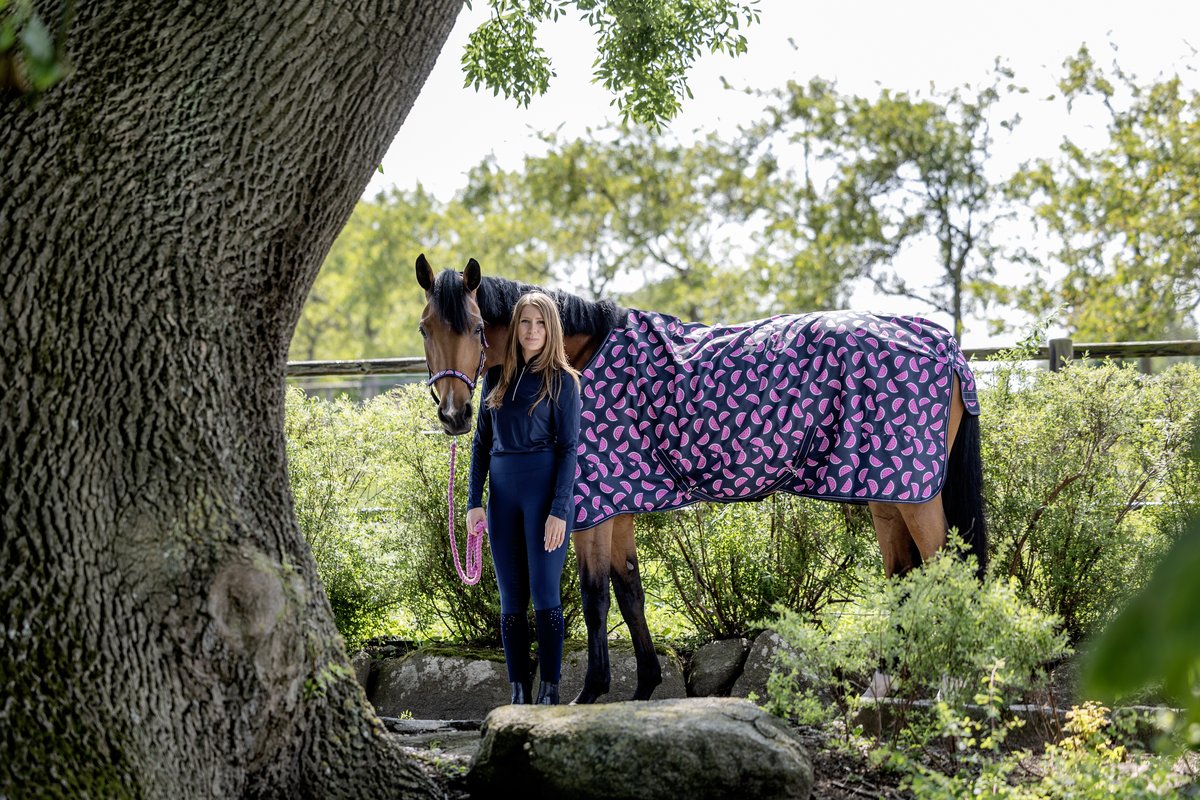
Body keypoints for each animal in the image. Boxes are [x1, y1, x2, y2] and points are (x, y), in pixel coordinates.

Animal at [414, 254, 986, 704]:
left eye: (476, 328)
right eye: (426, 328)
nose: (454, 415)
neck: (572, 358)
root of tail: (942, 343)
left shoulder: (588, 508)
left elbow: (595, 596)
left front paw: (590, 693)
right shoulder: (618, 505)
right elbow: (630, 590)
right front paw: (644, 686)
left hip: (916, 496)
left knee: (948, 568)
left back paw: (952, 683)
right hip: (886, 493)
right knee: (905, 576)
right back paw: (887, 684)